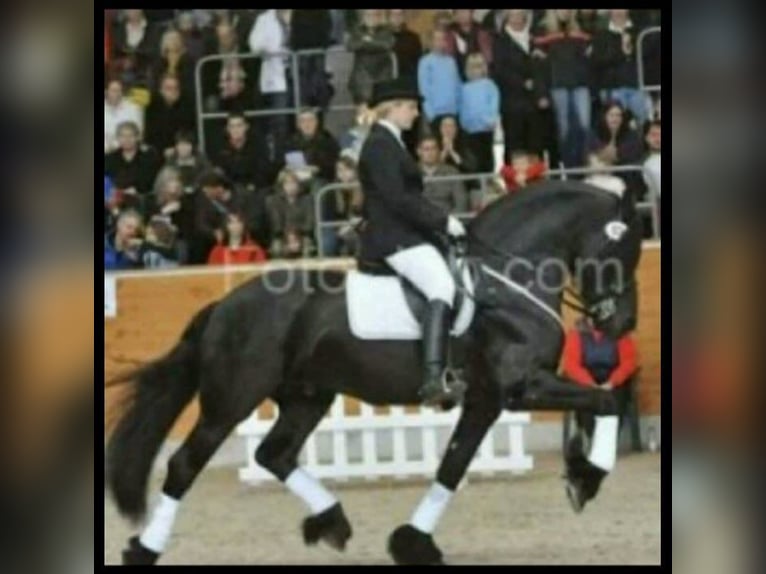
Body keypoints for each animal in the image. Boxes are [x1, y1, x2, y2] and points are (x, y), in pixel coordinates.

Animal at [108, 180, 644, 568]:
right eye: (624, 250)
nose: (621, 324)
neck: (508, 281)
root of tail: (223, 307)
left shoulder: (485, 400)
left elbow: (453, 466)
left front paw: (413, 543)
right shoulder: (520, 387)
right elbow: (605, 399)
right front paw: (587, 477)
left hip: (307, 397)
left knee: (273, 454)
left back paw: (331, 522)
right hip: (232, 399)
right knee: (185, 465)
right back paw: (143, 550)